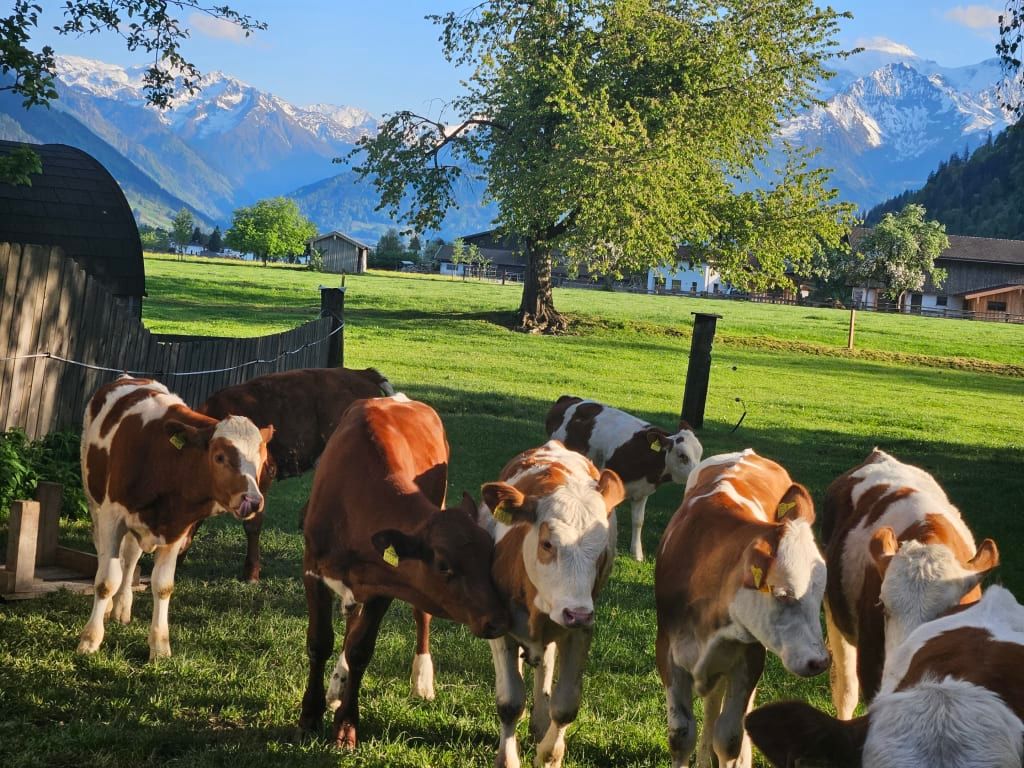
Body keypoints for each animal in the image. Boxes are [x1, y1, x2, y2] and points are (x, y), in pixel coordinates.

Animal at [77, 377, 274, 660]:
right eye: (219, 457)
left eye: (261, 459)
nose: (254, 500)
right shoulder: (112, 517)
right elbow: (105, 581)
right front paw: (90, 639)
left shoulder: (176, 526)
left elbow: (162, 585)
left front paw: (159, 646)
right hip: (95, 502)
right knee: (106, 554)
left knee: (130, 558)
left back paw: (122, 606)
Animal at [298, 393, 510, 750]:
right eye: (443, 565)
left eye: (489, 555)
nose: (499, 620)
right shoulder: (314, 568)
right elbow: (320, 642)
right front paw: (310, 716)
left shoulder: (388, 580)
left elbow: (360, 649)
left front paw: (346, 725)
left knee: (417, 616)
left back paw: (421, 679)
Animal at [478, 439, 625, 768]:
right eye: (547, 544)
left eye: (602, 551)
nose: (577, 613)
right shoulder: (499, 628)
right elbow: (510, 702)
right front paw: (507, 758)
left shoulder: (581, 630)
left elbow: (566, 705)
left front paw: (549, 754)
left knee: (546, 663)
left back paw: (540, 722)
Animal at [545, 395, 702, 561]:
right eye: (682, 456)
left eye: (700, 453)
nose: (699, 473)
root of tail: (569, 398)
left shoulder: (642, 492)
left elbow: (638, 521)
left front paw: (637, 554)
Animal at [654, 450, 830, 768]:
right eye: (783, 594)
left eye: (819, 594)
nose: (820, 662)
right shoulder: (668, 652)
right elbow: (681, 734)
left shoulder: (749, 657)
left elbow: (730, 737)